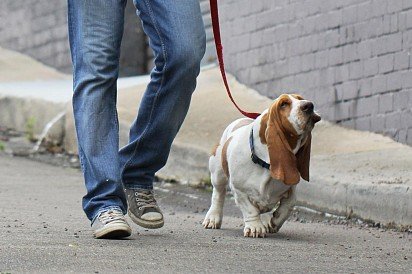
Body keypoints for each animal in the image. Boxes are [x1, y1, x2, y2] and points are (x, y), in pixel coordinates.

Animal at [203, 93, 322, 237]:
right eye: (283, 104)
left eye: (300, 98)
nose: (309, 105)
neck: (265, 164)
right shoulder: (239, 190)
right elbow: (250, 210)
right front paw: (255, 228)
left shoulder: (291, 188)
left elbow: (289, 203)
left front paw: (275, 221)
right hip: (218, 173)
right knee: (218, 194)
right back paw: (212, 218)